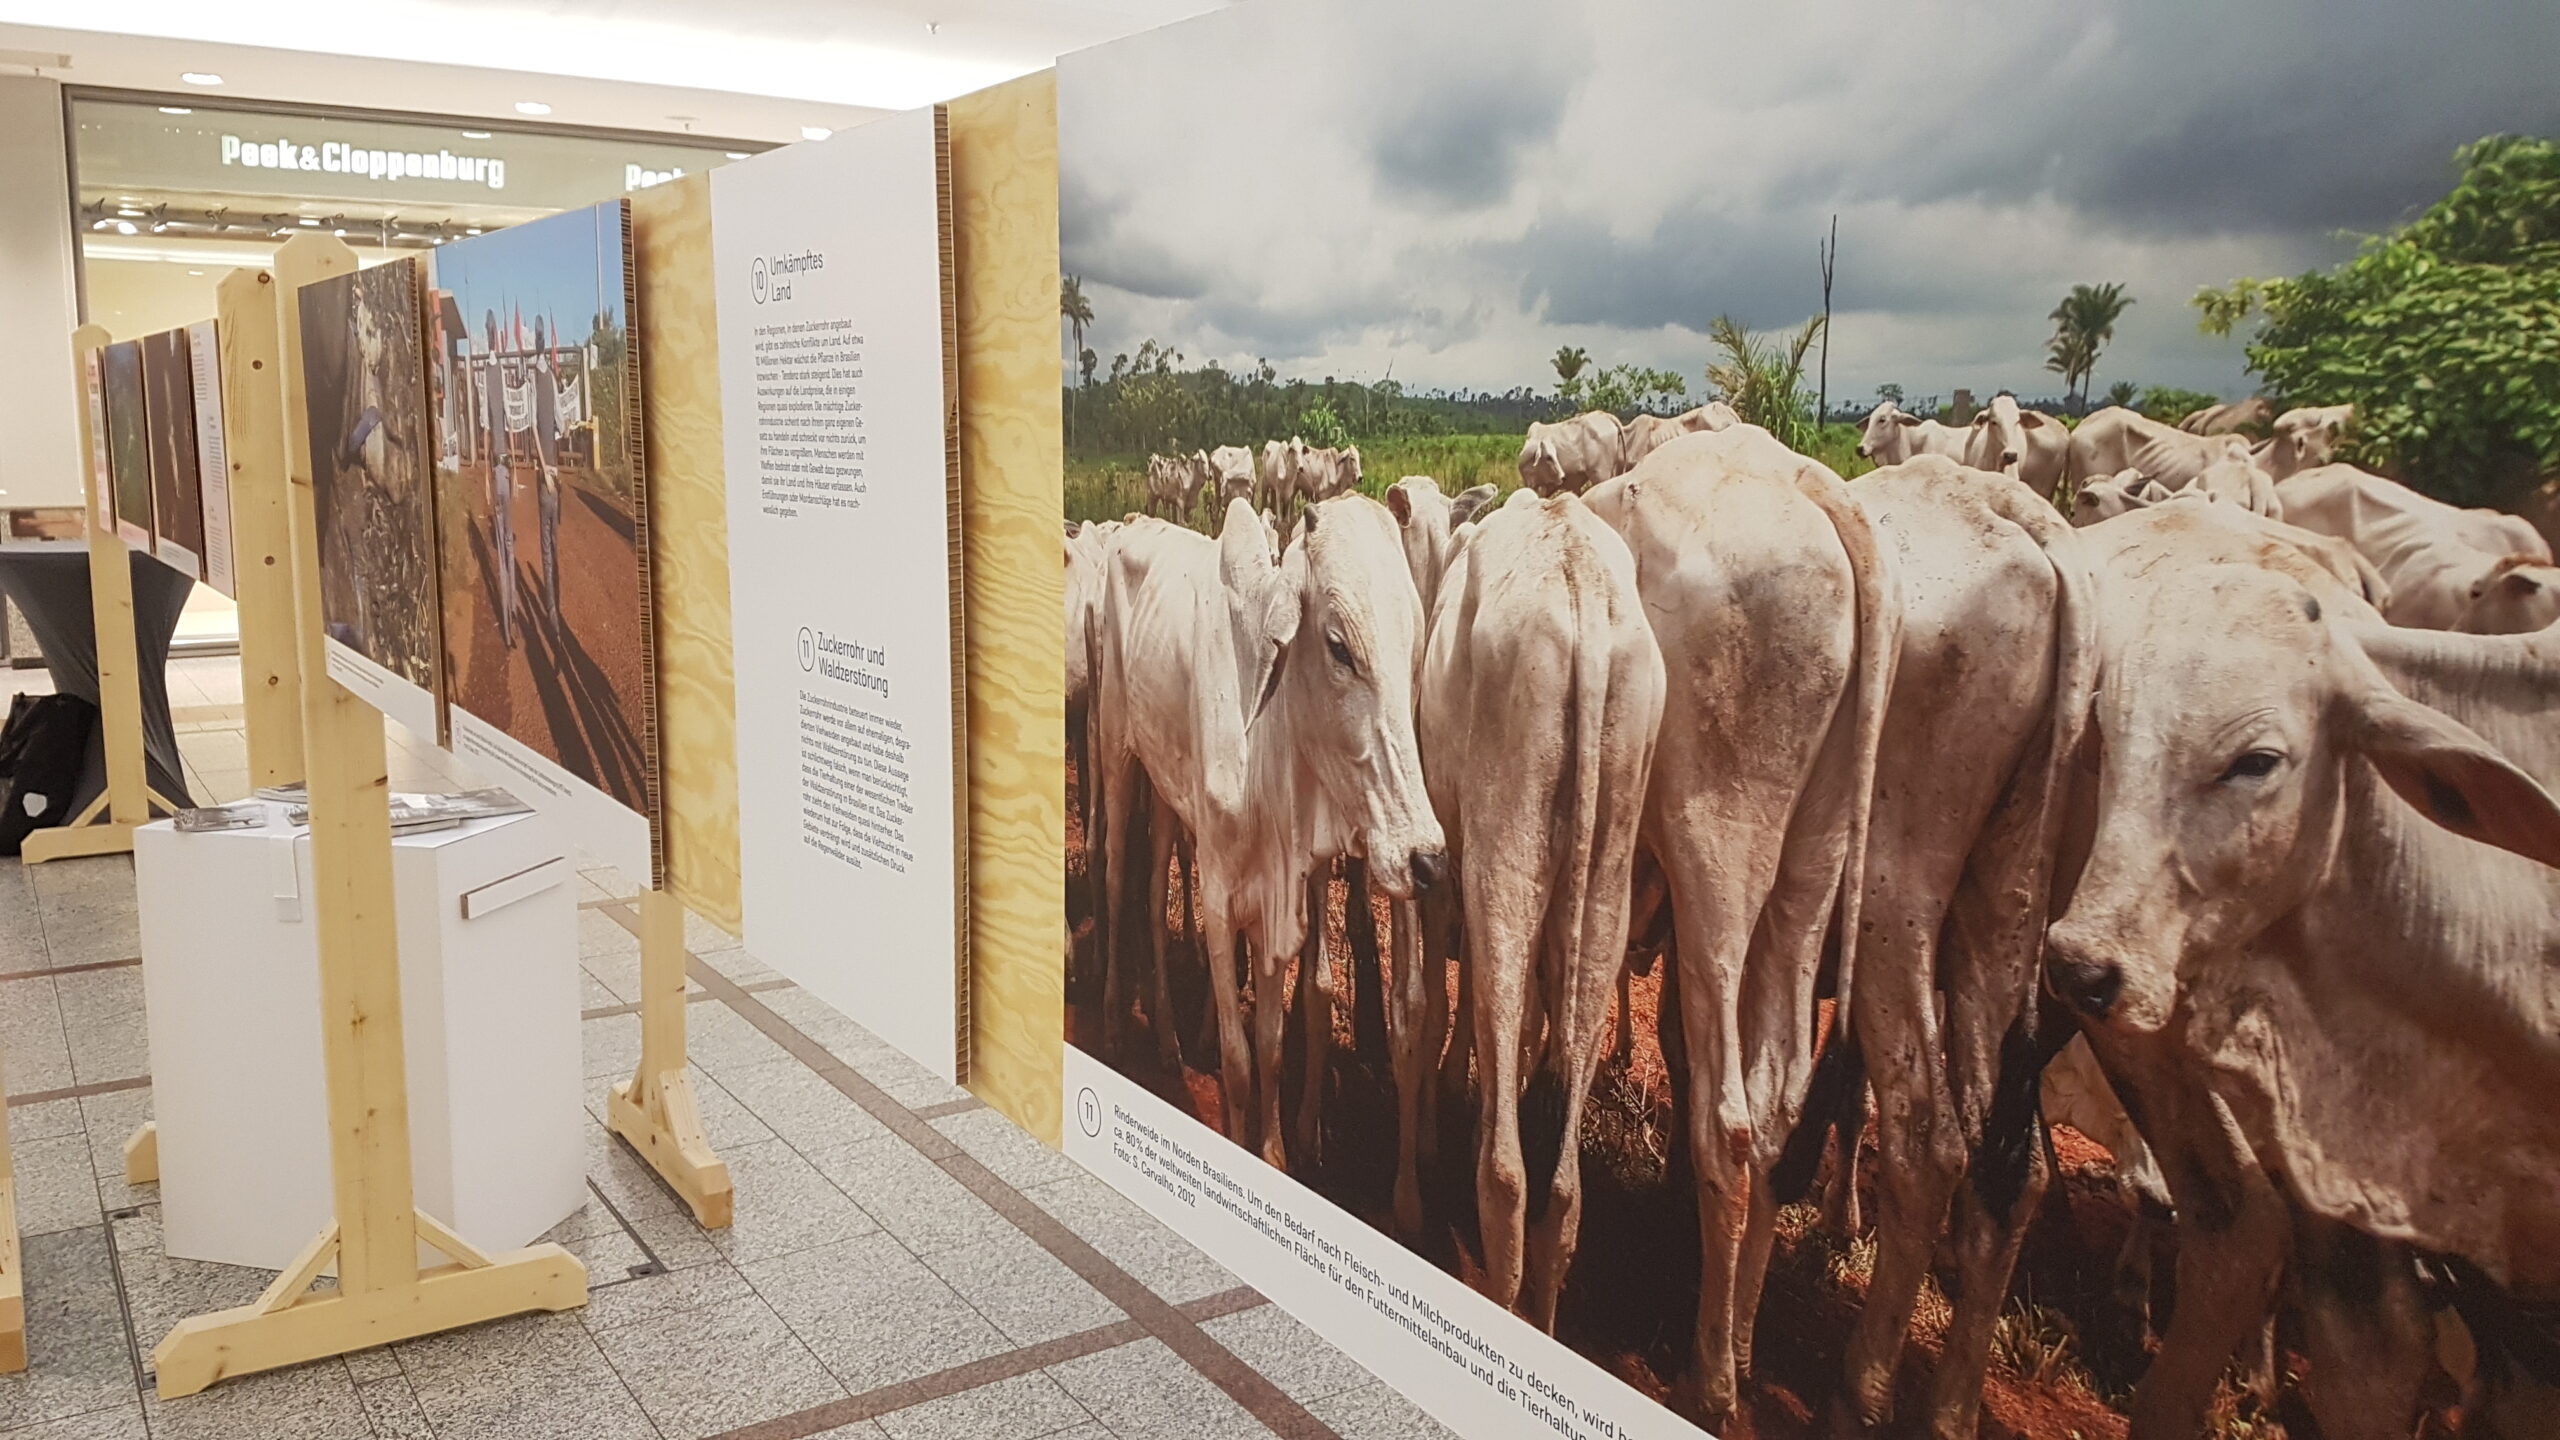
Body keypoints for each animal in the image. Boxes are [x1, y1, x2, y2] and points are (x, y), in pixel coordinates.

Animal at [1091, 498, 1447, 1170]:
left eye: (1414, 640)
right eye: (1338, 646)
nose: (1428, 860)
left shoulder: (1276, 902)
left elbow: (1272, 1048)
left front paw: (1275, 1154)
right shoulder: (1220, 902)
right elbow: (1236, 1062)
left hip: (1167, 794)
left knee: (1150, 894)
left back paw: (1169, 1040)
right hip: (1117, 752)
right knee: (1119, 879)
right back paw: (1114, 1027)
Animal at [1411, 491, 1664, 1329]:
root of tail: (1579, 584)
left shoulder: (1447, 854)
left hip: (1504, 861)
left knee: (1509, 1179)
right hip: (1607, 874)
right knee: (1564, 1192)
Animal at [1578, 425, 1897, 1423]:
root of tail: (1814, 488)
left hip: (1715, 846)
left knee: (1731, 1118)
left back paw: (1709, 1378)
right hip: (1811, 862)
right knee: (1779, 1096)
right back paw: (1744, 1343)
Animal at [1822, 457, 2096, 1440]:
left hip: (1892, 898)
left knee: (1930, 1143)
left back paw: (1861, 1389)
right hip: (2002, 908)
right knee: (2011, 1176)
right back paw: (1947, 1407)